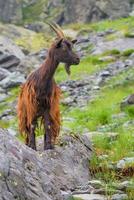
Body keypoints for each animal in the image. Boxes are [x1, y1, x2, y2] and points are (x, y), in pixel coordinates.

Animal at [16, 22, 79, 150]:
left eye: (71, 46)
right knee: (28, 126)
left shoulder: (47, 106)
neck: (42, 80)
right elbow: (32, 126)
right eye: (64, 48)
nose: (77, 59)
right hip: (25, 111)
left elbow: (47, 125)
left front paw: (48, 146)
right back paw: (28, 144)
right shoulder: (32, 106)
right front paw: (33, 147)